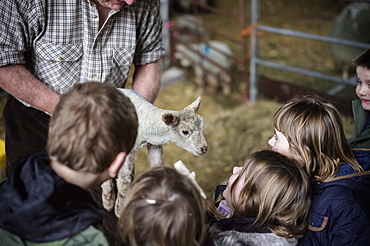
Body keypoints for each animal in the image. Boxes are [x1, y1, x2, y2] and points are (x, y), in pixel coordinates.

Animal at [101, 89, 208, 217]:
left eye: (202, 127)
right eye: (185, 132)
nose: (204, 149)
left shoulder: (155, 146)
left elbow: (158, 166)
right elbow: (125, 179)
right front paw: (120, 210)